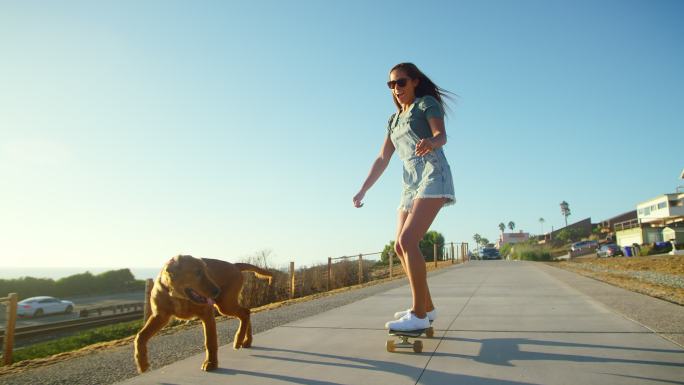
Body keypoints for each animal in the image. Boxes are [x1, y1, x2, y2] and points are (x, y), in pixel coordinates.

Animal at [134, 255, 272, 372]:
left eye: (206, 271)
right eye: (197, 272)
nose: (217, 291)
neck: (178, 296)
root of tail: (234, 265)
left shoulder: (207, 314)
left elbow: (210, 342)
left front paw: (211, 363)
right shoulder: (160, 316)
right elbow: (140, 337)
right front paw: (142, 363)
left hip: (225, 304)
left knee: (245, 313)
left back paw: (239, 340)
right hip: (226, 305)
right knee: (246, 313)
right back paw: (246, 341)